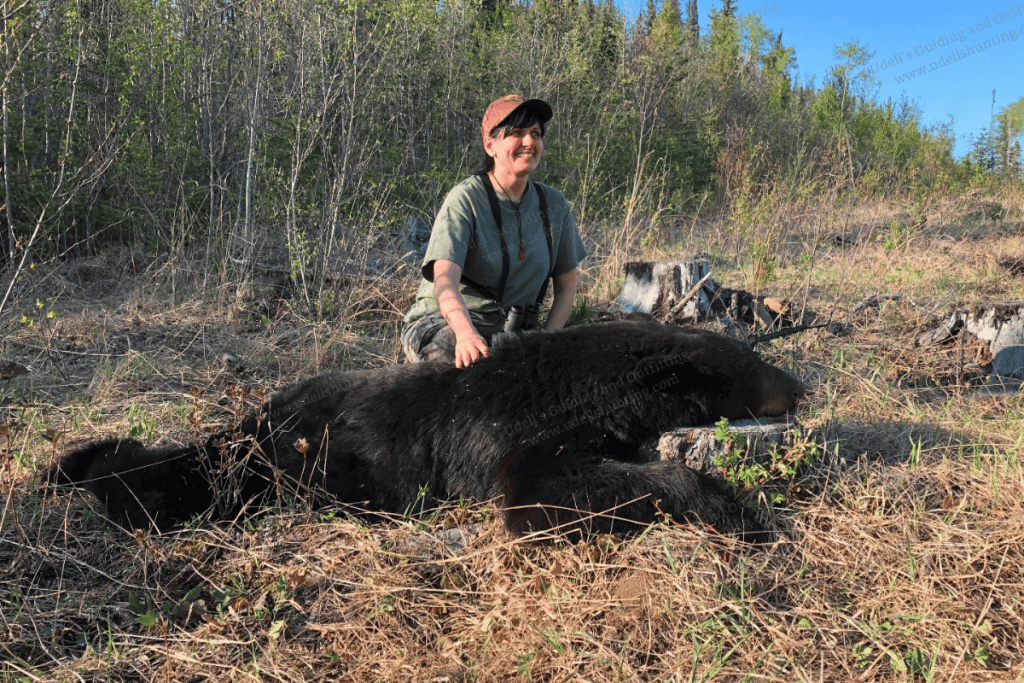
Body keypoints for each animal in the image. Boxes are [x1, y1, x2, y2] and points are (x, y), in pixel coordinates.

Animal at [47, 321, 805, 540]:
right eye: (752, 364)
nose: (801, 385)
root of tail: (259, 414)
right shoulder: (524, 439)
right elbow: (532, 491)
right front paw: (733, 507)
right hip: (282, 460)